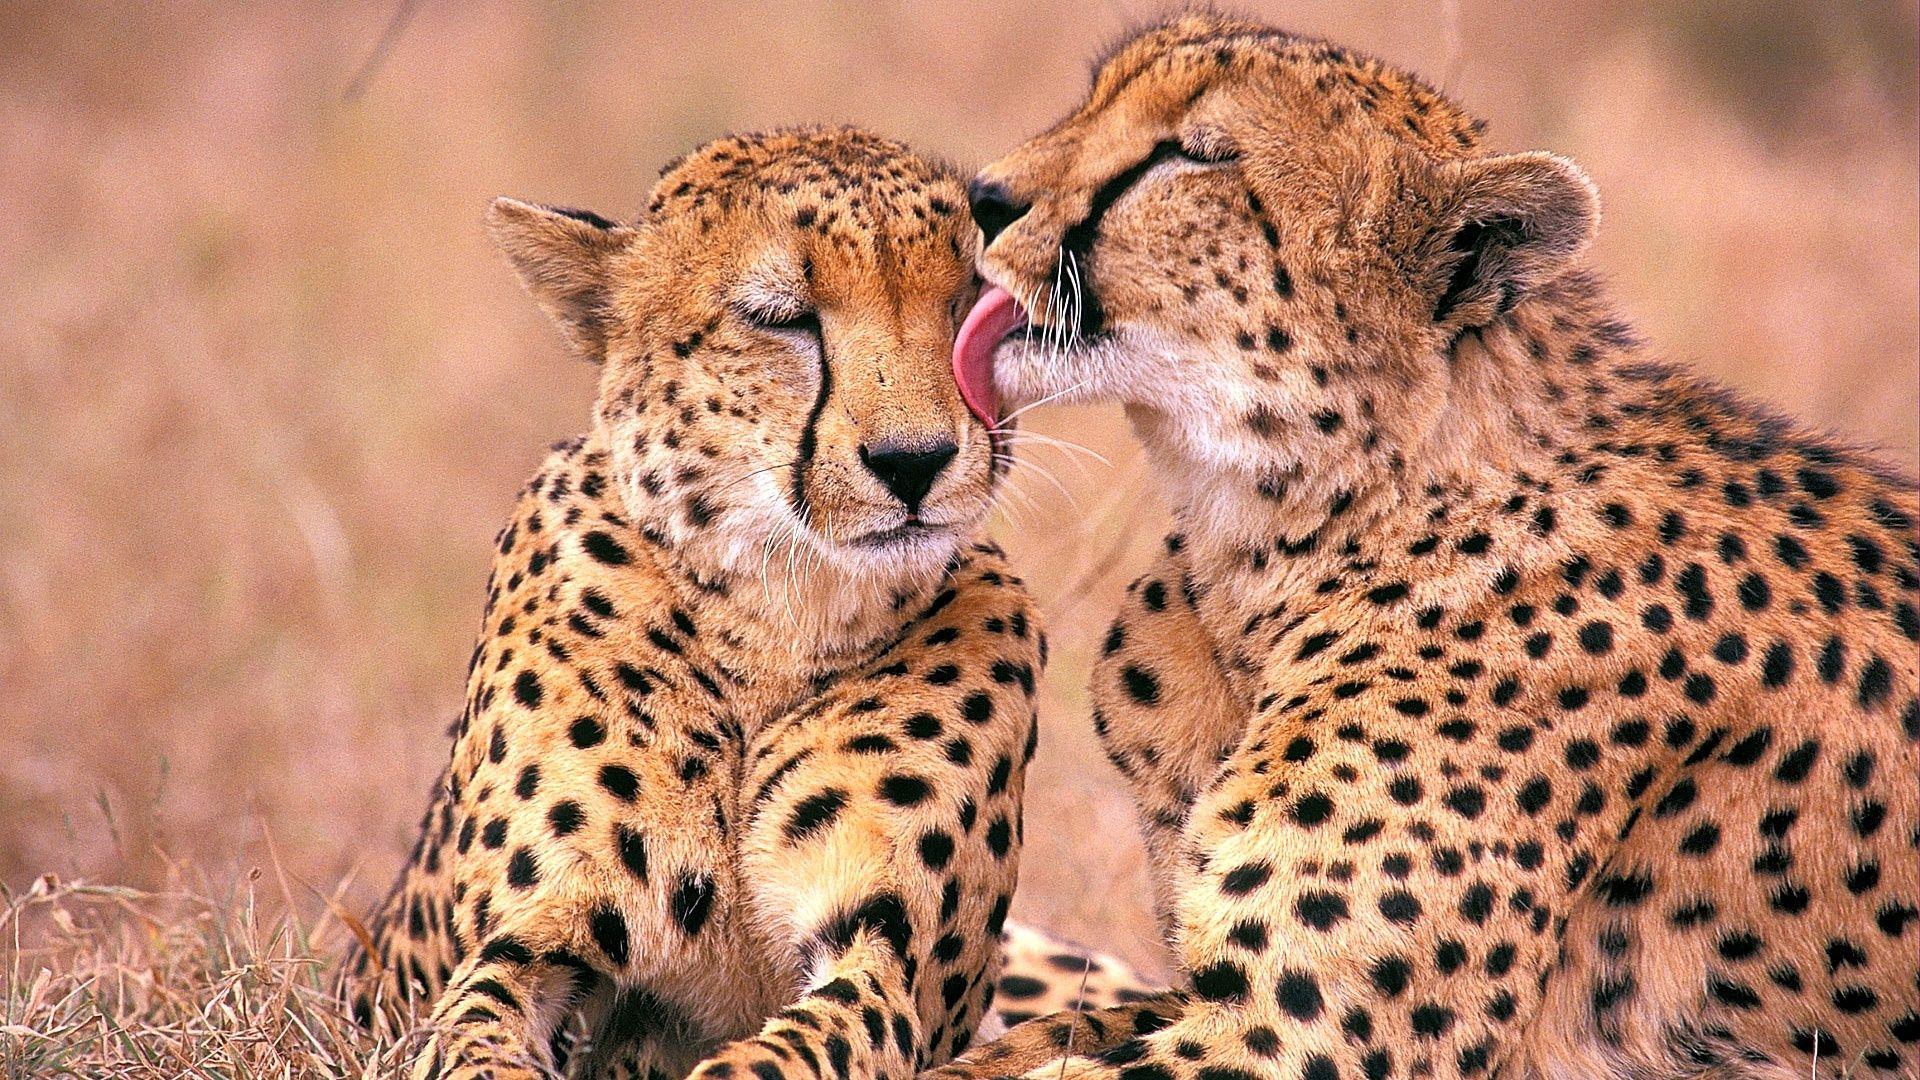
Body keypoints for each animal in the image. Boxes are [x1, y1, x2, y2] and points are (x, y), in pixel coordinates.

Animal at [340, 125, 1086, 1080]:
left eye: (969, 306)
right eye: (780, 317)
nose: (914, 460)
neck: (777, 618)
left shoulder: (886, 959)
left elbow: (789, 1048)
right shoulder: (532, 936)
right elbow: (475, 1030)